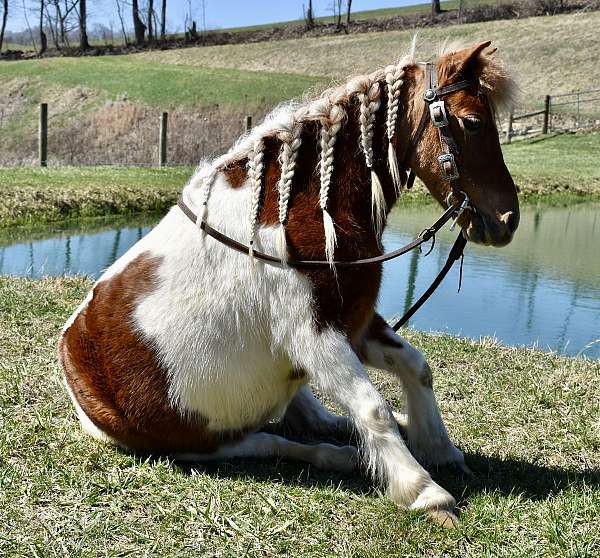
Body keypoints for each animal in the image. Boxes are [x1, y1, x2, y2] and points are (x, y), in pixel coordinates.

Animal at [59, 41, 520, 528]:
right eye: (473, 122)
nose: (508, 219)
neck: (294, 212)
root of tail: (71, 356)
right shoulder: (313, 335)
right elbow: (371, 406)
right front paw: (424, 491)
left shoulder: (353, 320)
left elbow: (416, 367)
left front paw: (438, 446)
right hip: (198, 444)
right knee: (270, 442)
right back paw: (338, 455)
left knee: (304, 408)